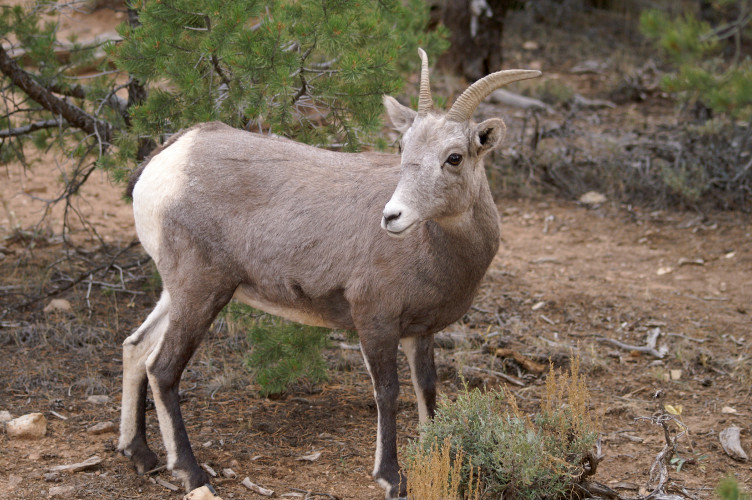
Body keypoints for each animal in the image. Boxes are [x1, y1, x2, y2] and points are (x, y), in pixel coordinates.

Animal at [118, 48, 540, 498]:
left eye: (454, 157)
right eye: (403, 146)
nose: (392, 217)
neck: (433, 247)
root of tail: (170, 158)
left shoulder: (419, 332)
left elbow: (426, 388)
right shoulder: (375, 322)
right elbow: (388, 393)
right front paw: (392, 478)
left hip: (178, 292)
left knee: (136, 347)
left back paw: (140, 456)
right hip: (201, 292)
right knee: (162, 368)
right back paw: (194, 477)